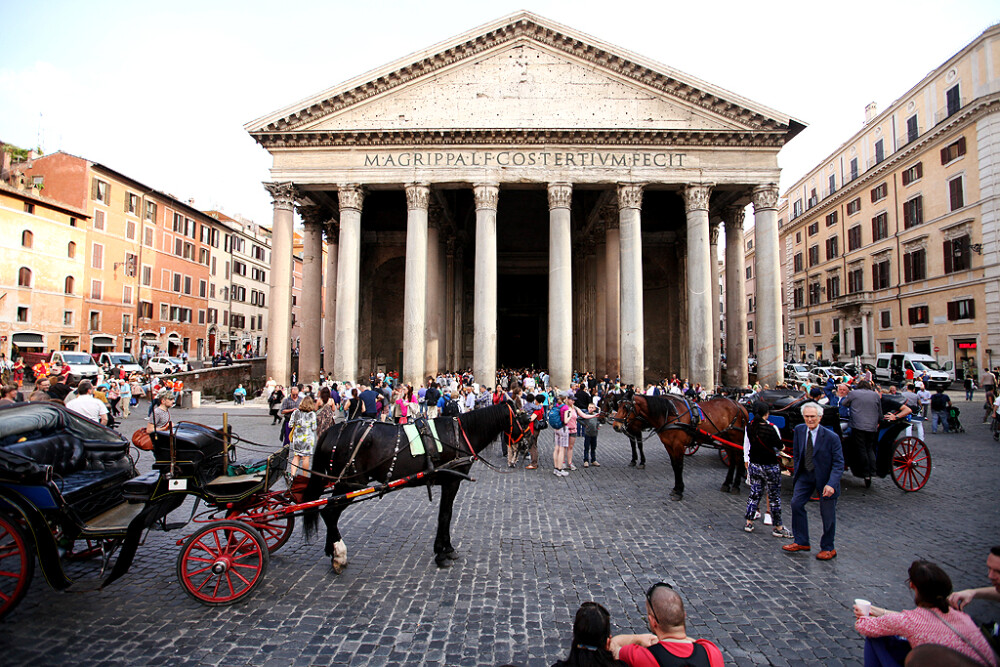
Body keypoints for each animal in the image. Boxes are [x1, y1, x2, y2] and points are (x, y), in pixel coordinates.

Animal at [302, 400, 532, 572]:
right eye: (523, 420)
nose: (525, 447)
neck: (460, 434)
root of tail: (330, 431)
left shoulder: (449, 481)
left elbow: (446, 514)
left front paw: (446, 548)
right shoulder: (452, 480)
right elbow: (445, 515)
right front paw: (442, 553)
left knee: (329, 511)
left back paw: (331, 550)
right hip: (350, 482)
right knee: (329, 512)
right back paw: (339, 554)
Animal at [608, 392, 752, 500]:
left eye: (626, 407)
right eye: (618, 405)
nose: (616, 426)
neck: (668, 415)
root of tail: (740, 405)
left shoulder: (678, 444)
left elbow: (679, 466)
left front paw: (679, 491)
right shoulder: (668, 445)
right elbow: (674, 466)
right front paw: (676, 488)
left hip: (737, 438)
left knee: (740, 459)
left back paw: (736, 486)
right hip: (726, 439)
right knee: (732, 460)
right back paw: (727, 484)